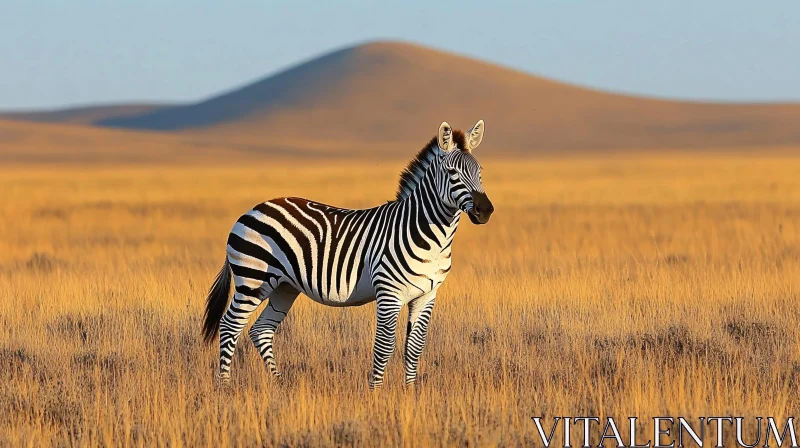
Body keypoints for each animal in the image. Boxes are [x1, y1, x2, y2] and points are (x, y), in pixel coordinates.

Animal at [203, 121, 494, 390]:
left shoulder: (427, 295)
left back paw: (281, 383)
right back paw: (224, 386)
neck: (428, 236)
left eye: (480, 171)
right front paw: (375, 394)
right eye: (452, 172)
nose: (485, 210)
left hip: (284, 287)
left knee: (261, 330)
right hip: (253, 280)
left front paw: (411, 393)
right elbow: (385, 346)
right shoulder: (389, 293)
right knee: (230, 325)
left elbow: (414, 347)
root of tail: (252, 210)